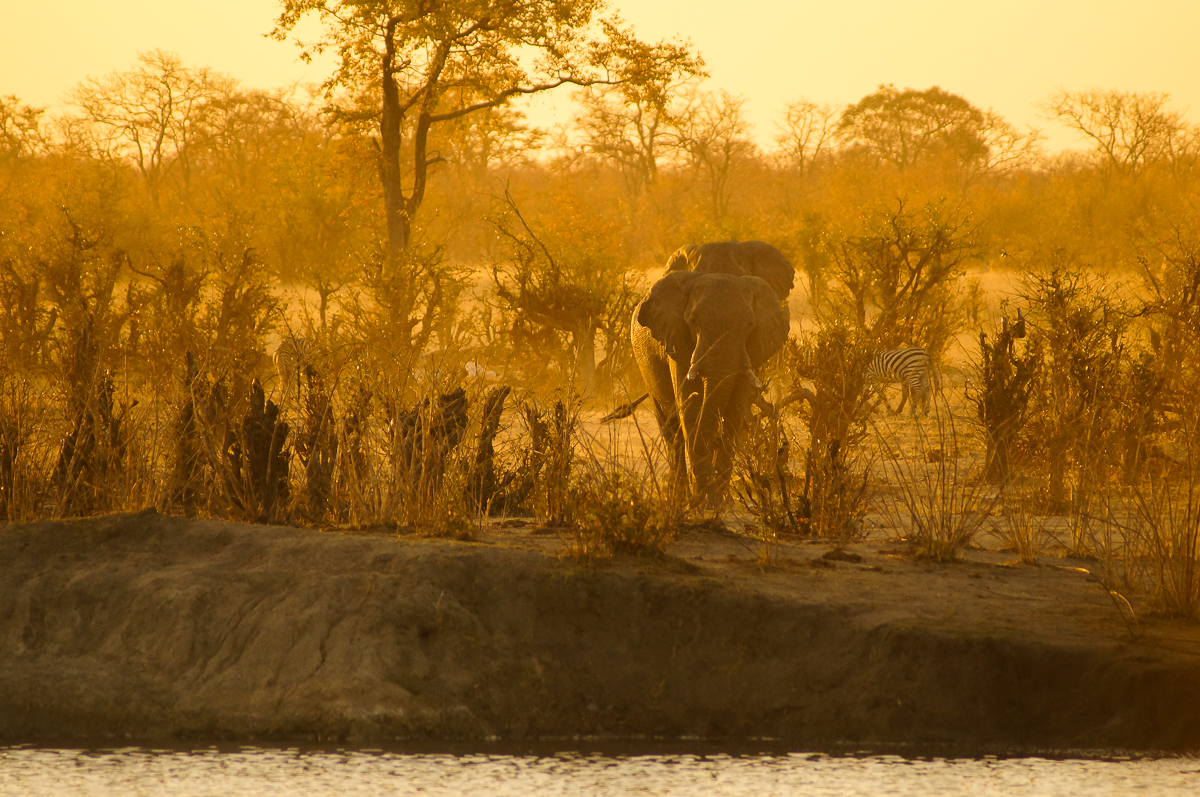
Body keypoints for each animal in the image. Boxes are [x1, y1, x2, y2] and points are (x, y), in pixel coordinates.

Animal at [633, 267, 792, 504]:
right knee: (671, 429)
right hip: (644, 362)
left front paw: (720, 502)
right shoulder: (677, 340)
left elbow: (734, 410)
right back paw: (679, 499)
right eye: (694, 321)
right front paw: (706, 501)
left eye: (750, 325)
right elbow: (691, 405)